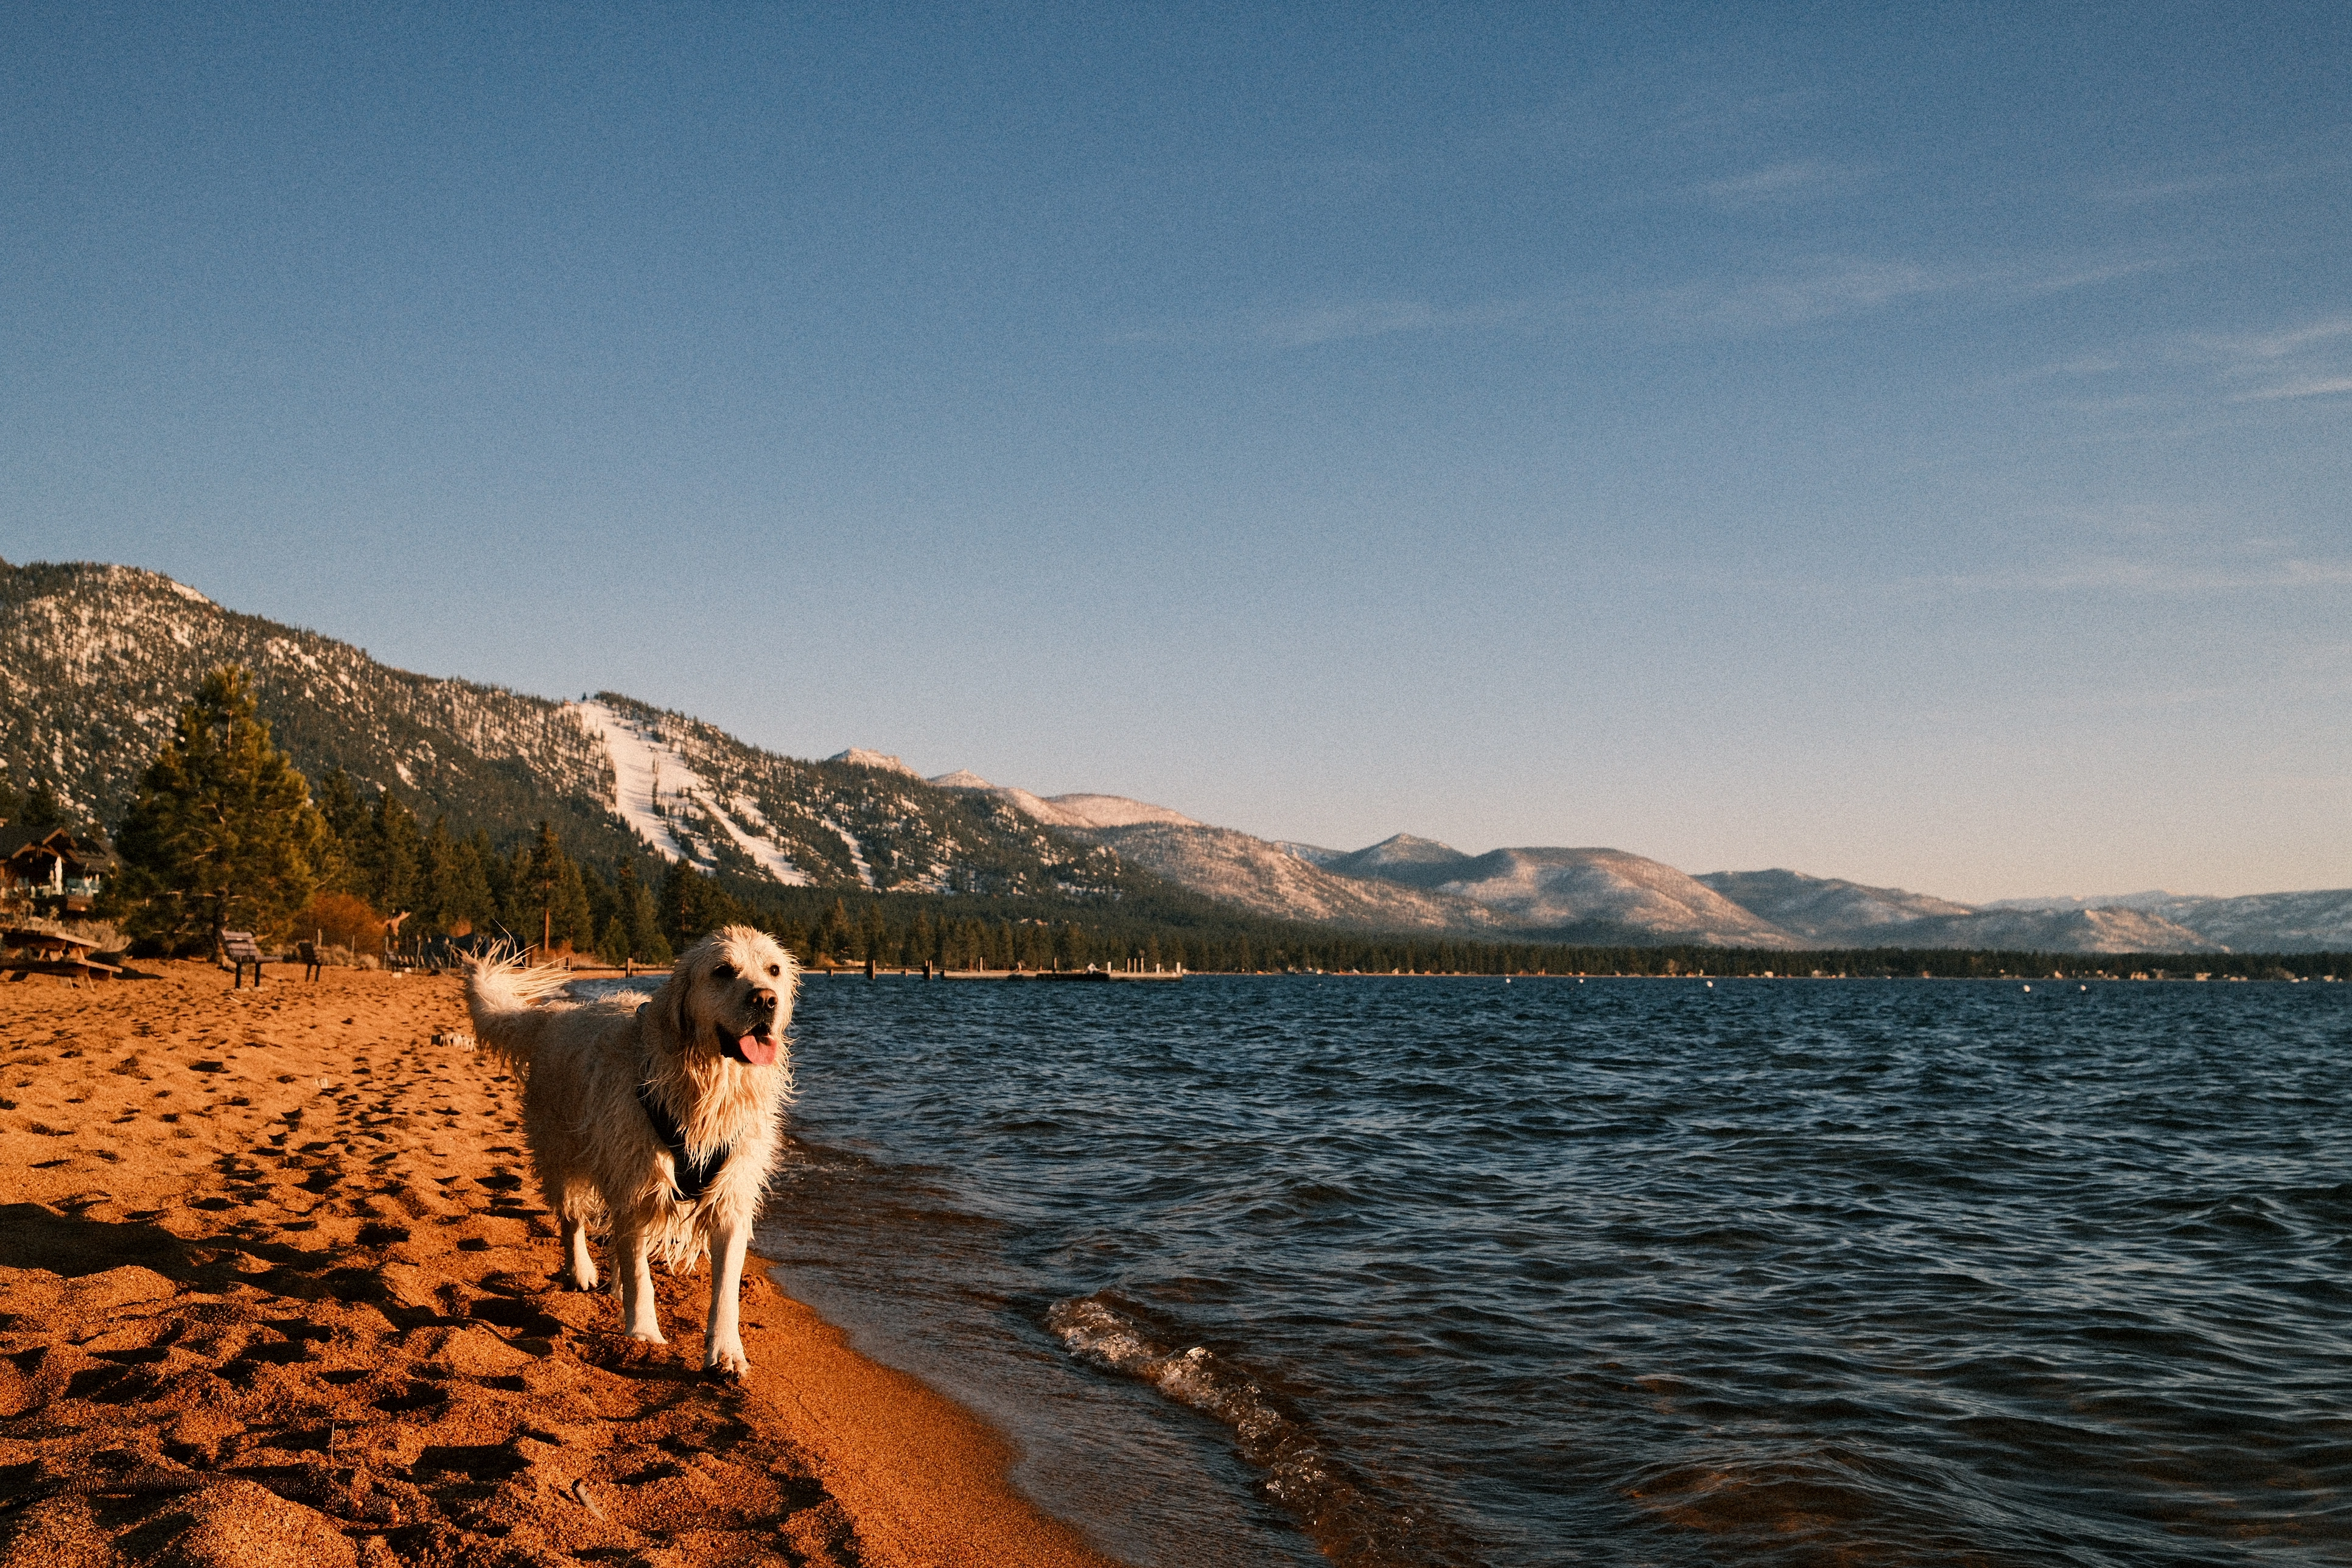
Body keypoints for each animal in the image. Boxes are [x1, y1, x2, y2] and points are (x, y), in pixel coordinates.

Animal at [463, 926, 804, 1382]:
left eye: (774, 970)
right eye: (723, 971)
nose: (766, 999)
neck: (707, 1085)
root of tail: (555, 1016)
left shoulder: (731, 1194)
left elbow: (726, 1290)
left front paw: (727, 1353)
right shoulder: (636, 1186)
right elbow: (642, 1274)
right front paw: (643, 1334)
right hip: (563, 1151)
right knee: (573, 1218)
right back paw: (583, 1271)